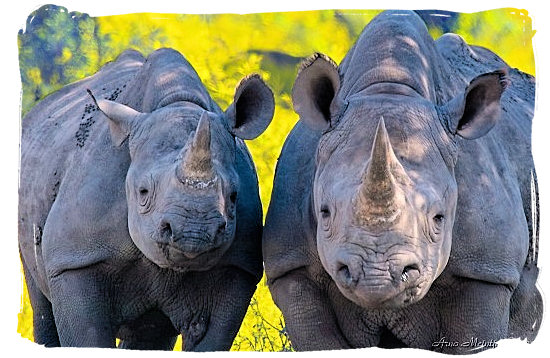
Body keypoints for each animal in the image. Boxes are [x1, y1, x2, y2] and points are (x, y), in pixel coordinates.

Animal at [18, 47, 276, 350]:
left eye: (234, 196)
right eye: (142, 193)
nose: (194, 232)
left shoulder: (235, 268)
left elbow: (211, 340)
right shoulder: (75, 258)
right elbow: (89, 334)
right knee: (41, 303)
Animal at [264, 9, 544, 354]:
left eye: (439, 218)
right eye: (325, 213)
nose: (377, 278)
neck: (388, 88)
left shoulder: (487, 271)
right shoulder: (292, 265)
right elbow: (318, 338)